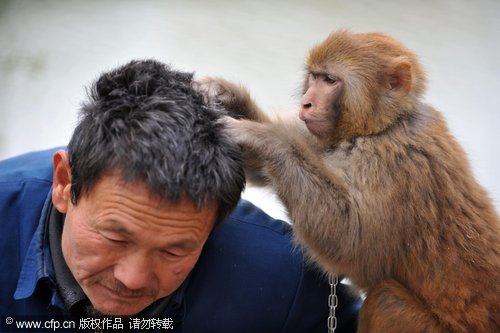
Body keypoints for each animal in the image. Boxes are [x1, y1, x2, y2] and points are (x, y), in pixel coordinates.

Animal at [198, 29, 500, 330]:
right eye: (314, 76)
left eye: (330, 80)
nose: (306, 102)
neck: (379, 129)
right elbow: (266, 167)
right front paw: (224, 93)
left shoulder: (396, 163)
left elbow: (349, 239)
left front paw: (264, 136)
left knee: (386, 300)